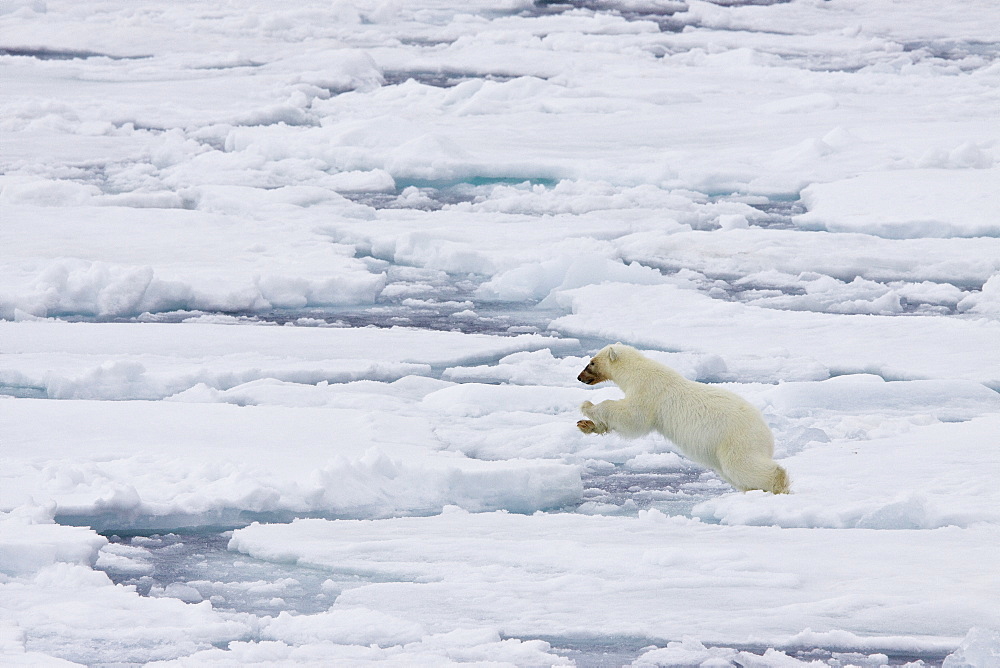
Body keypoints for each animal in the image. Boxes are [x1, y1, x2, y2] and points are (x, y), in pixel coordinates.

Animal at [580, 344, 788, 496]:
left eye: (591, 362)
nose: (579, 377)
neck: (637, 371)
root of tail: (767, 432)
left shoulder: (648, 392)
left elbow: (633, 417)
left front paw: (587, 406)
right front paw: (586, 425)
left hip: (736, 438)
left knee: (741, 465)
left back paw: (779, 483)